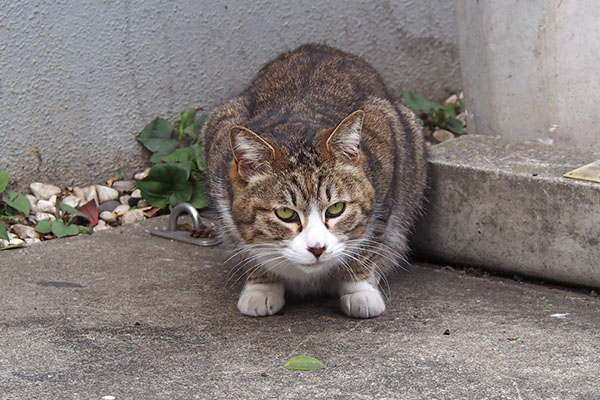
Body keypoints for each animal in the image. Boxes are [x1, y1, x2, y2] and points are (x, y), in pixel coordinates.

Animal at [204, 43, 428, 318]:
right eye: (285, 214)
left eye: (336, 208)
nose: (318, 248)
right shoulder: (219, 144)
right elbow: (246, 244)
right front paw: (262, 287)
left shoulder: (387, 143)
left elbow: (370, 239)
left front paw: (360, 290)